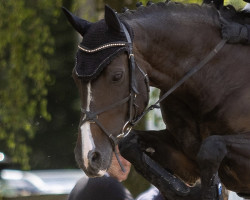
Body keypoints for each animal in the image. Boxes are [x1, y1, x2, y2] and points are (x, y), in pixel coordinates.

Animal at [63, 1, 250, 200]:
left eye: (117, 76)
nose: (89, 156)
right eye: (75, 77)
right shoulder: (187, 157)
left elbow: (211, 147)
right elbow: (128, 145)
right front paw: (182, 191)